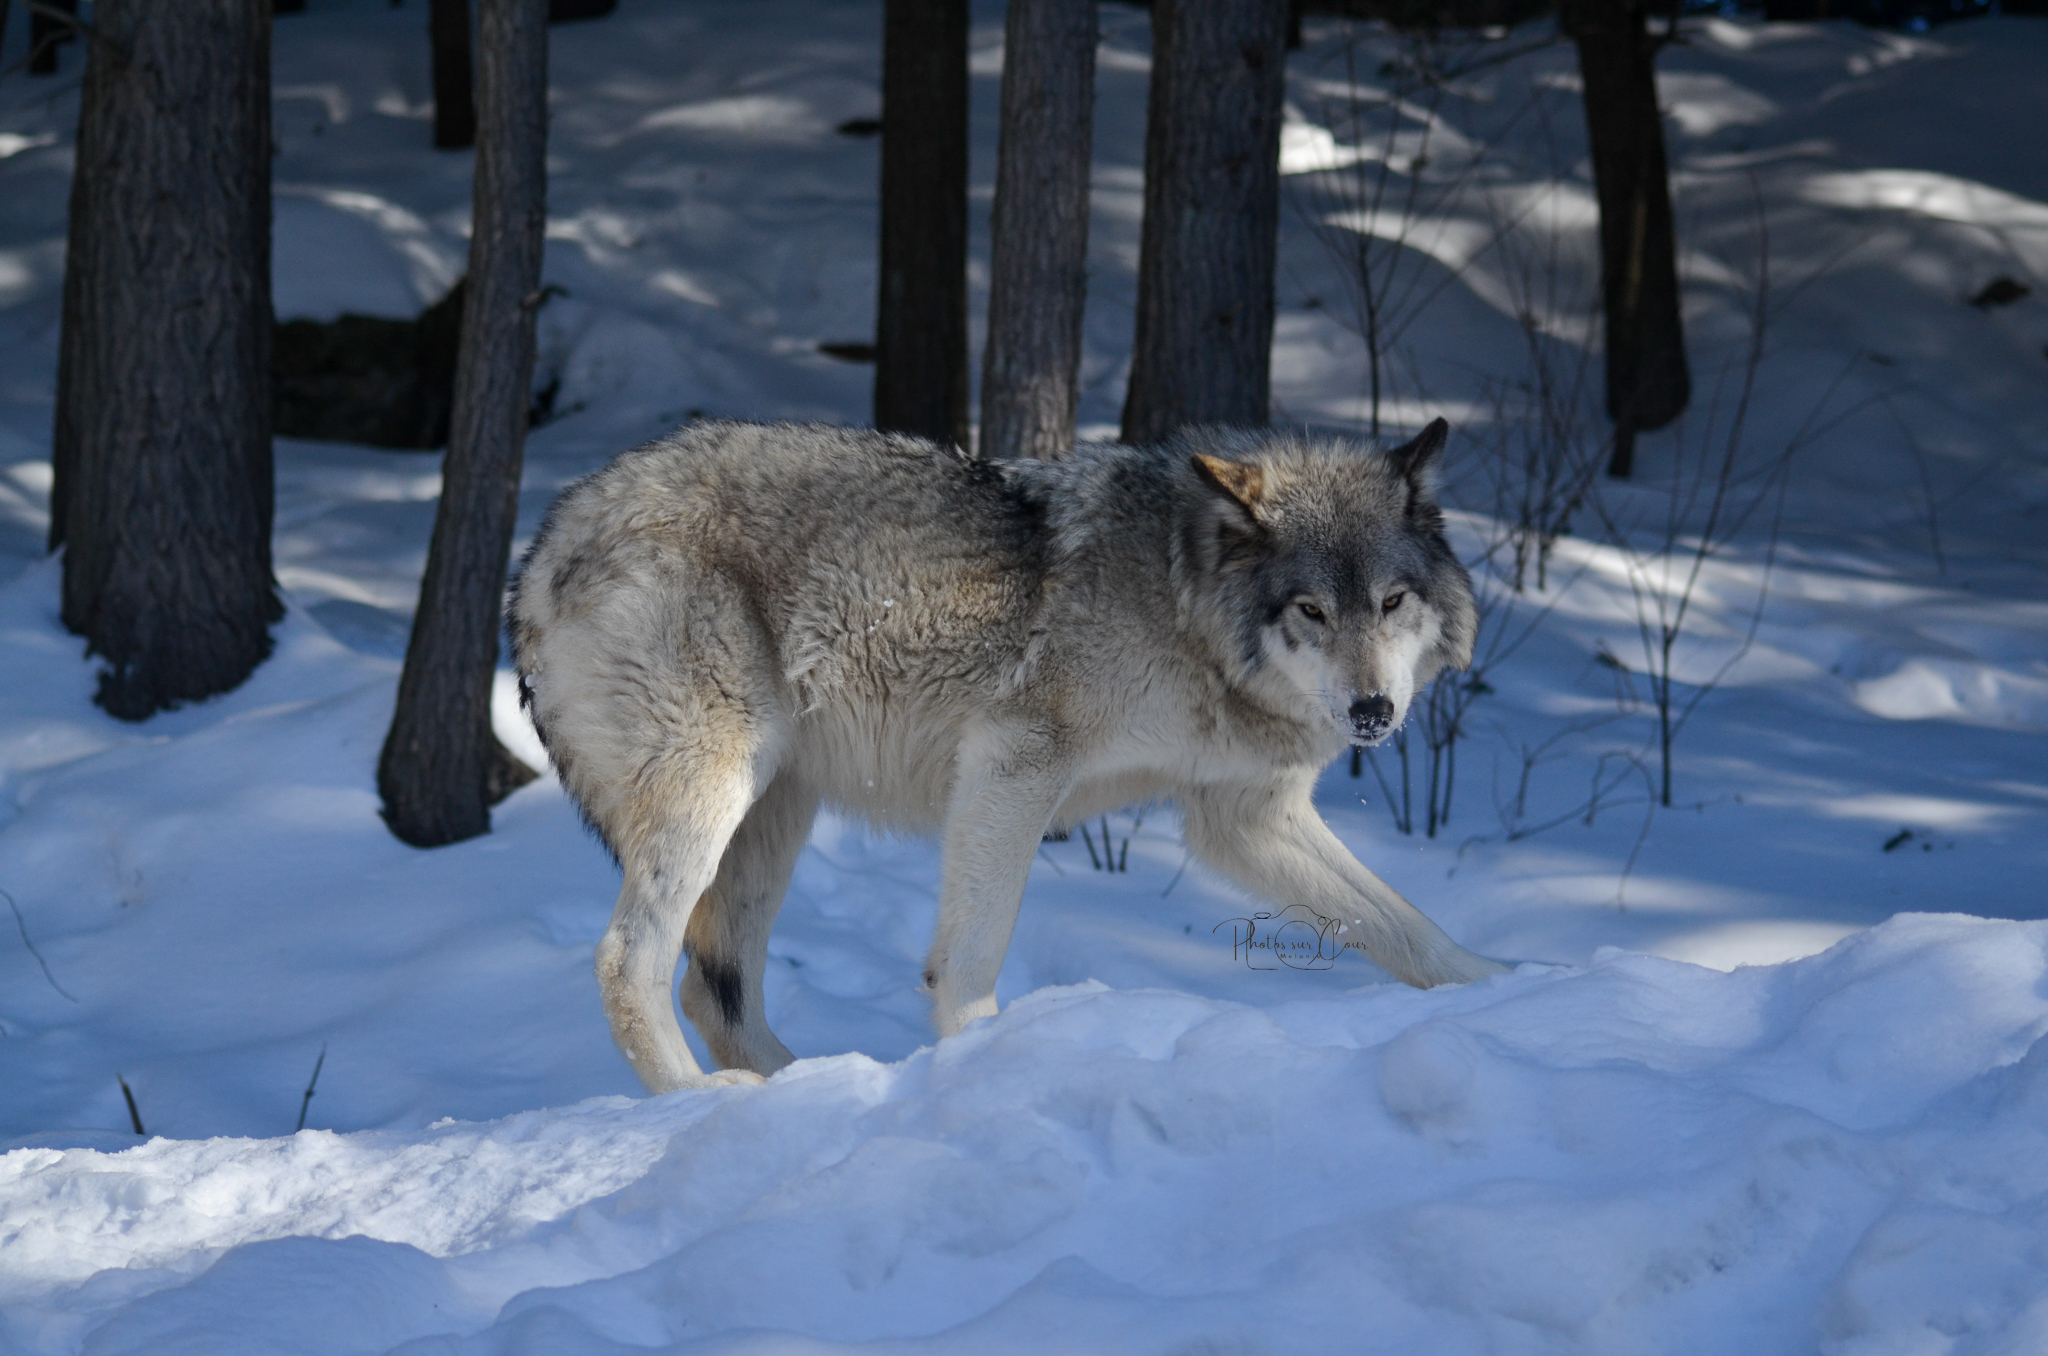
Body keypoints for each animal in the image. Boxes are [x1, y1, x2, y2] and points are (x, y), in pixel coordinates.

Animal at [512, 417, 1507, 1097]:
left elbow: (1412, 929)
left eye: (1391, 602)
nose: (1373, 711)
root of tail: (545, 540)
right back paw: (702, 1100)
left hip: (774, 819)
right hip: (715, 794)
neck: (1185, 606)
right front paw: (982, 1065)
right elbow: (971, 956)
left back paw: (802, 1089)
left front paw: (1512, 988)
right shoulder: (1015, 763)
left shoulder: (1245, 819)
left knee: (715, 991)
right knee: (628, 962)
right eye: (1311, 610)